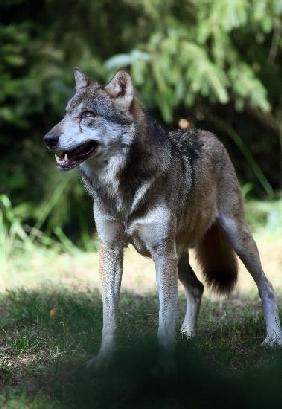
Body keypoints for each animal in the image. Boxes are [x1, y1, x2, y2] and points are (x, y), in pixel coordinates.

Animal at [43, 68, 280, 368]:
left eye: (88, 114)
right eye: (65, 114)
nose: (48, 139)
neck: (121, 189)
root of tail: (205, 132)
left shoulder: (161, 253)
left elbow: (164, 318)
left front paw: (165, 366)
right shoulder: (110, 250)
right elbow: (110, 317)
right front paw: (104, 360)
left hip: (234, 239)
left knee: (266, 286)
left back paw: (273, 339)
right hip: (178, 256)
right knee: (197, 288)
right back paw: (188, 335)